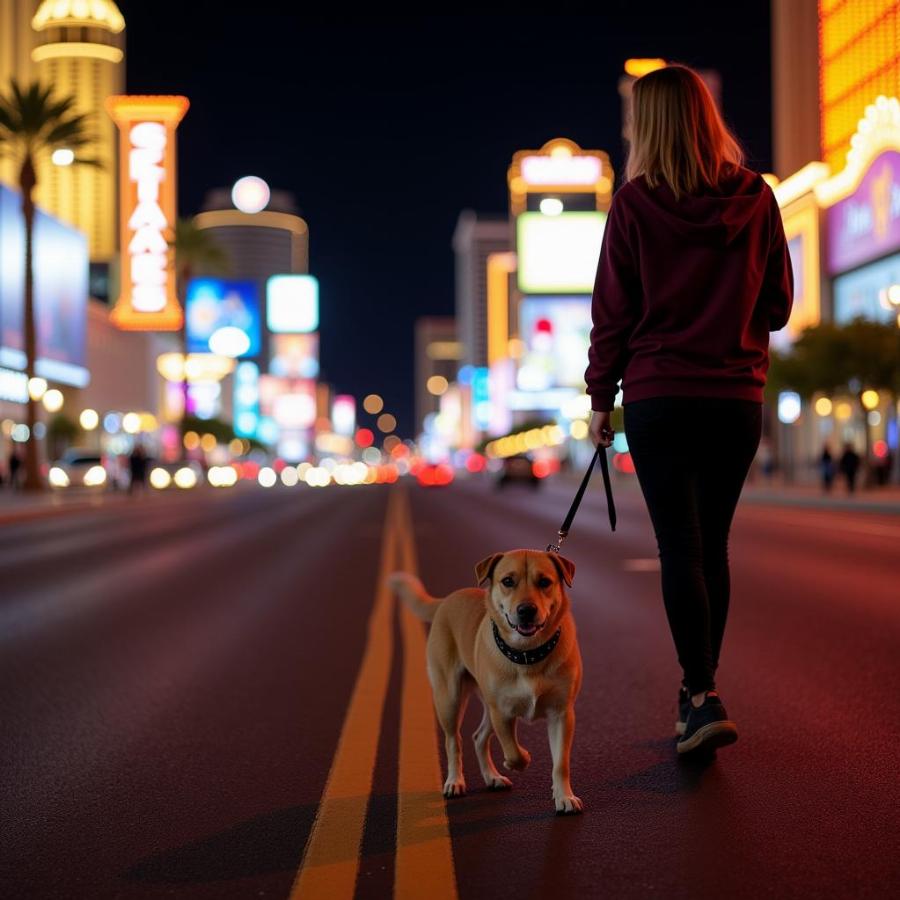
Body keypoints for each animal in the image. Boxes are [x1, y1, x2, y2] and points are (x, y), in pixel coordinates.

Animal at [386, 548, 584, 816]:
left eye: (544, 582)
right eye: (508, 581)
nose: (526, 610)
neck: (527, 654)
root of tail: (447, 599)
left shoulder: (562, 714)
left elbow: (560, 762)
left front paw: (564, 796)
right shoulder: (501, 712)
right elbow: (513, 751)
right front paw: (521, 758)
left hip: (485, 706)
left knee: (478, 738)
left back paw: (492, 777)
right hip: (450, 699)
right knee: (454, 741)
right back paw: (454, 781)